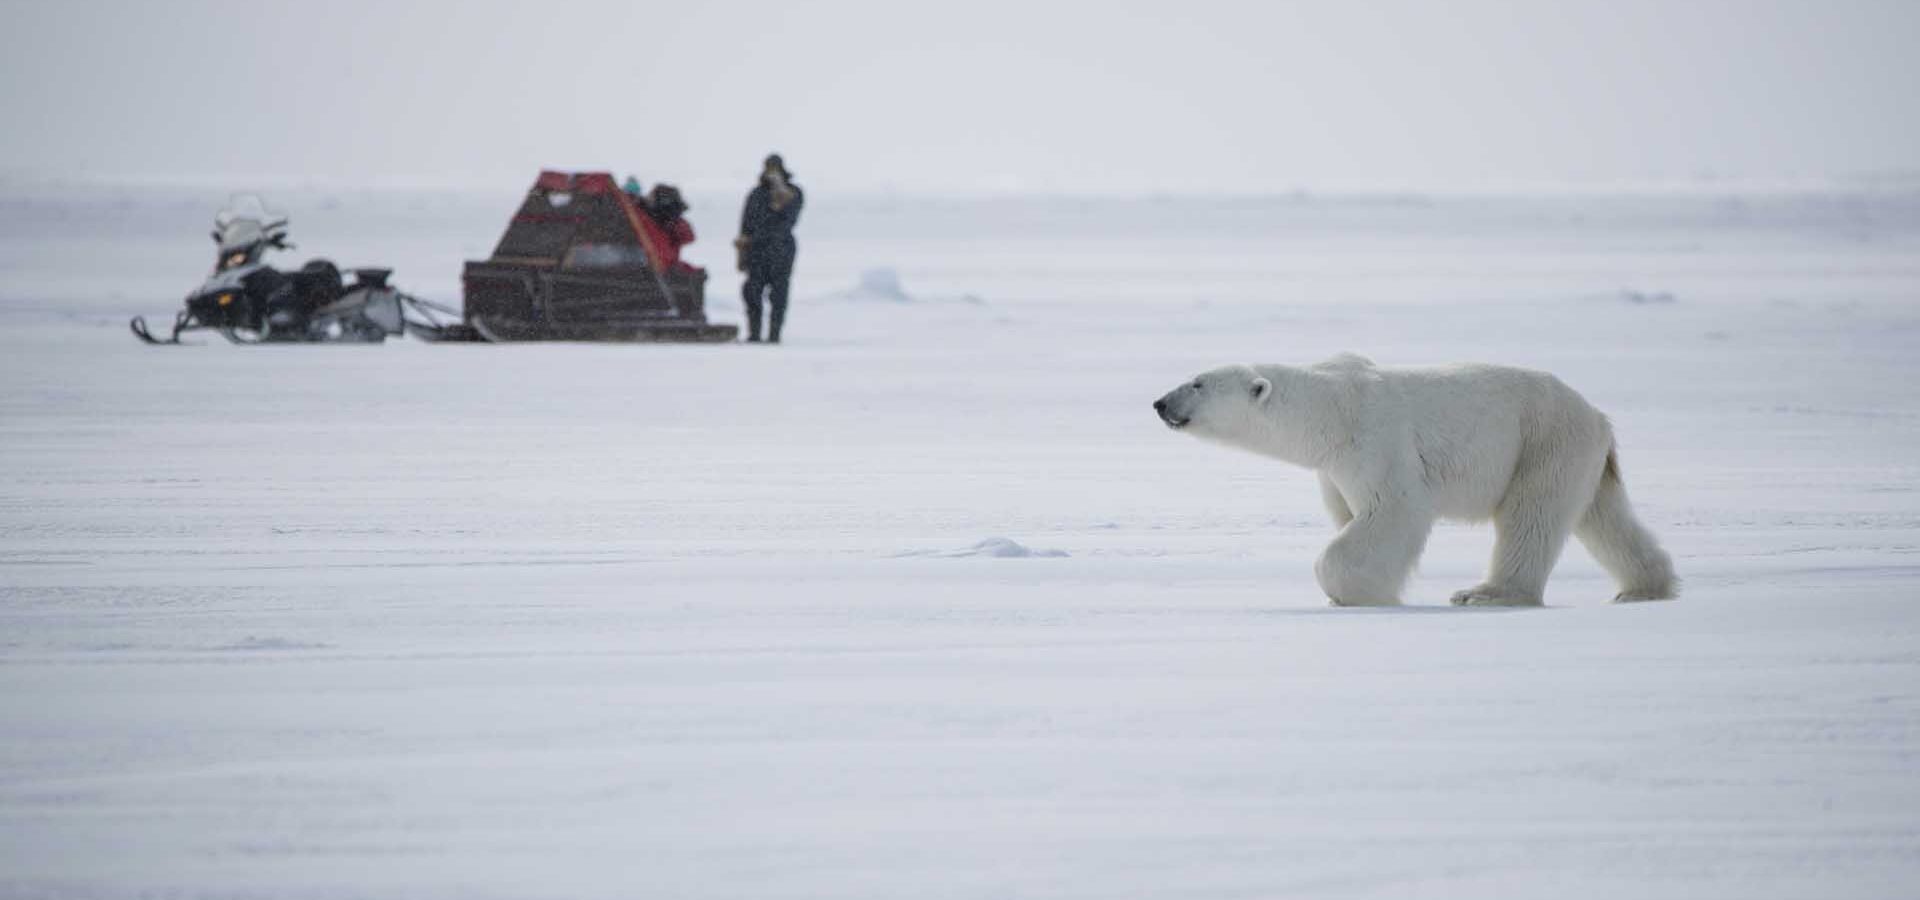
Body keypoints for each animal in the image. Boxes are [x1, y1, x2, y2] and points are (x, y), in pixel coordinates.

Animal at [1144, 355, 1674, 606]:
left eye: (1198, 383)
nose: (1160, 402)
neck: (1331, 407)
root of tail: (1598, 415)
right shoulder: (1333, 468)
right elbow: (1349, 513)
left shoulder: (1375, 437)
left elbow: (1395, 510)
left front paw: (1365, 592)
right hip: (1579, 454)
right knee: (1603, 517)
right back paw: (1644, 586)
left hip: (1541, 439)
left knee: (1531, 517)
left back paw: (1484, 593)